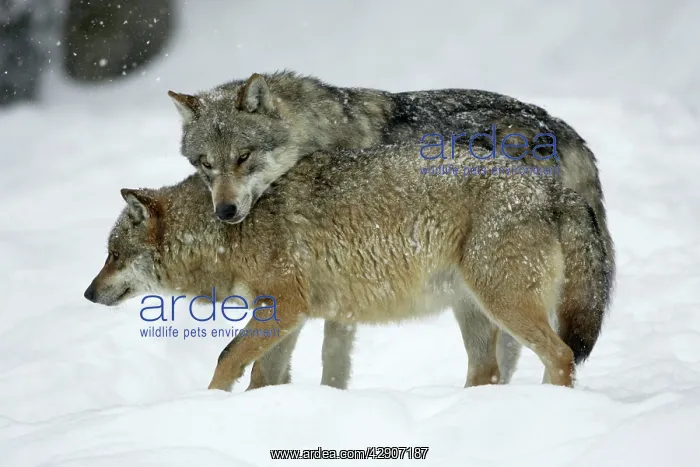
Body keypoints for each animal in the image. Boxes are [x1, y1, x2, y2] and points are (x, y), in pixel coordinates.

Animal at [84, 143, 611, 392]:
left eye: (113, 255)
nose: (87, 293)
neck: (227, 232)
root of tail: (555, 189)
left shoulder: (283, 307)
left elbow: (226, 358)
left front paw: (207, 406)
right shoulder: (289, 317)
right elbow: (262, 377)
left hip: (502, 304)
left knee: (561, 354)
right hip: (475, 313)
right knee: (490, 373)